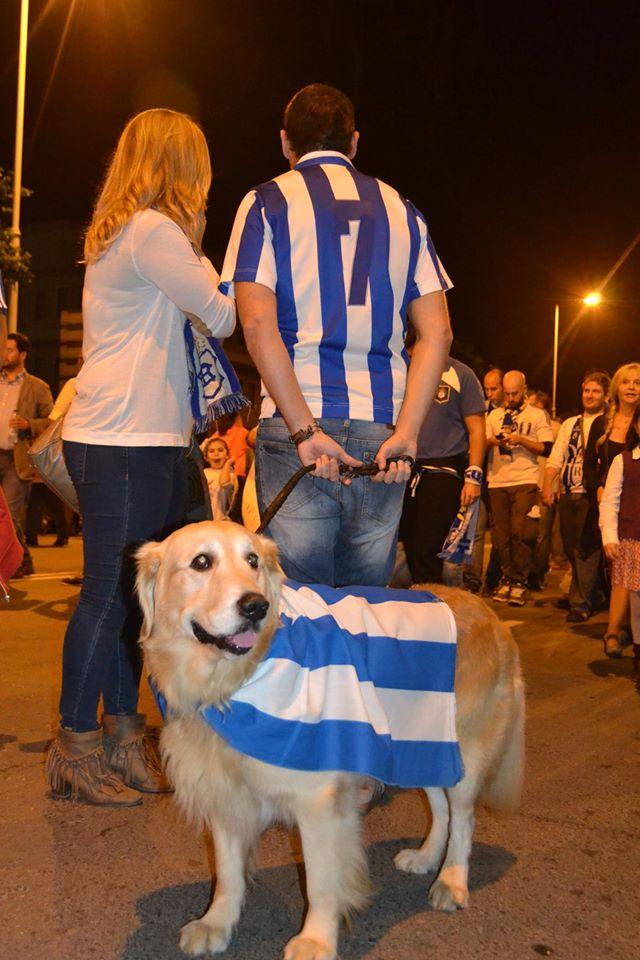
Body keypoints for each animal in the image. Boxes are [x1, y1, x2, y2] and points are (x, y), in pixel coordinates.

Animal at [136, 524, 524, 960]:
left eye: (253, 560)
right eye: (202, 562)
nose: (256, 607)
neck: (231, 687)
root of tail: (489, 612)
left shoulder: (317, 800)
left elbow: (321, 882)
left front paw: (316, 939)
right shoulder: (224, 793)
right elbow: (227, 872)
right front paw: (216, 922)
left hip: (463, 753)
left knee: (463, 818)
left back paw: (452, 880)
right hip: (419, 744)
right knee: (440, 810)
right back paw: (426, 858)